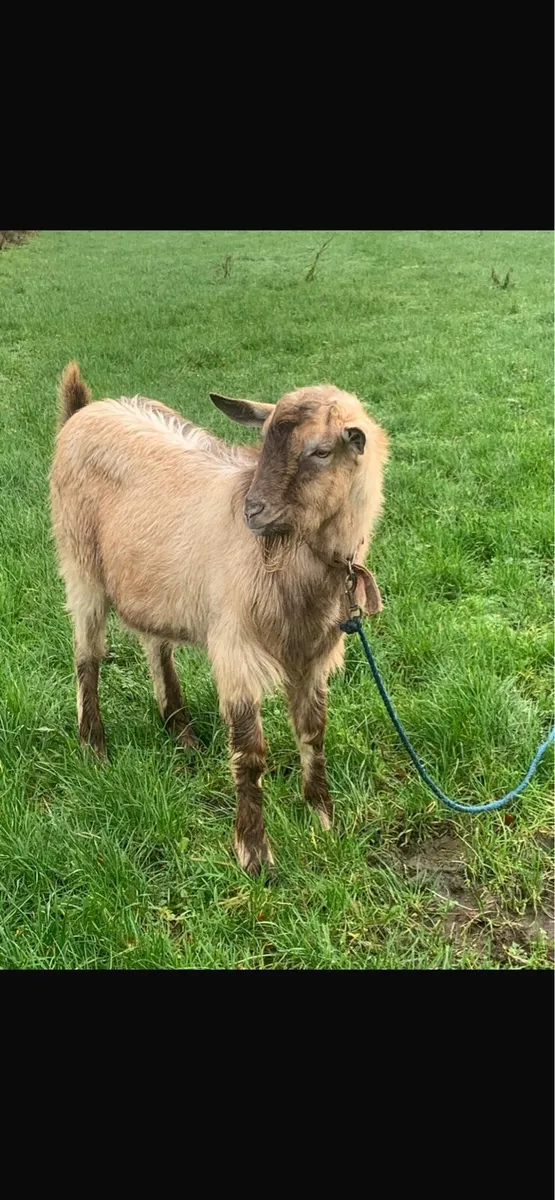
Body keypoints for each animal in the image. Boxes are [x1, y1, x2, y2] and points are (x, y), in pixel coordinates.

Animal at [50, 363, 388, 875]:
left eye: (321, 451)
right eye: (263, 440)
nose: (253, 510)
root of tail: (83, 410)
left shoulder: (311, 655)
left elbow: (313, 735)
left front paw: (322, 819)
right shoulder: (237, 650)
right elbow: (250, 754)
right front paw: (255, 855)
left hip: (153, 583)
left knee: (156, 646)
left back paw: (181, 732)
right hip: (81, 566)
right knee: (87, 655)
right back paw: (94, 746)